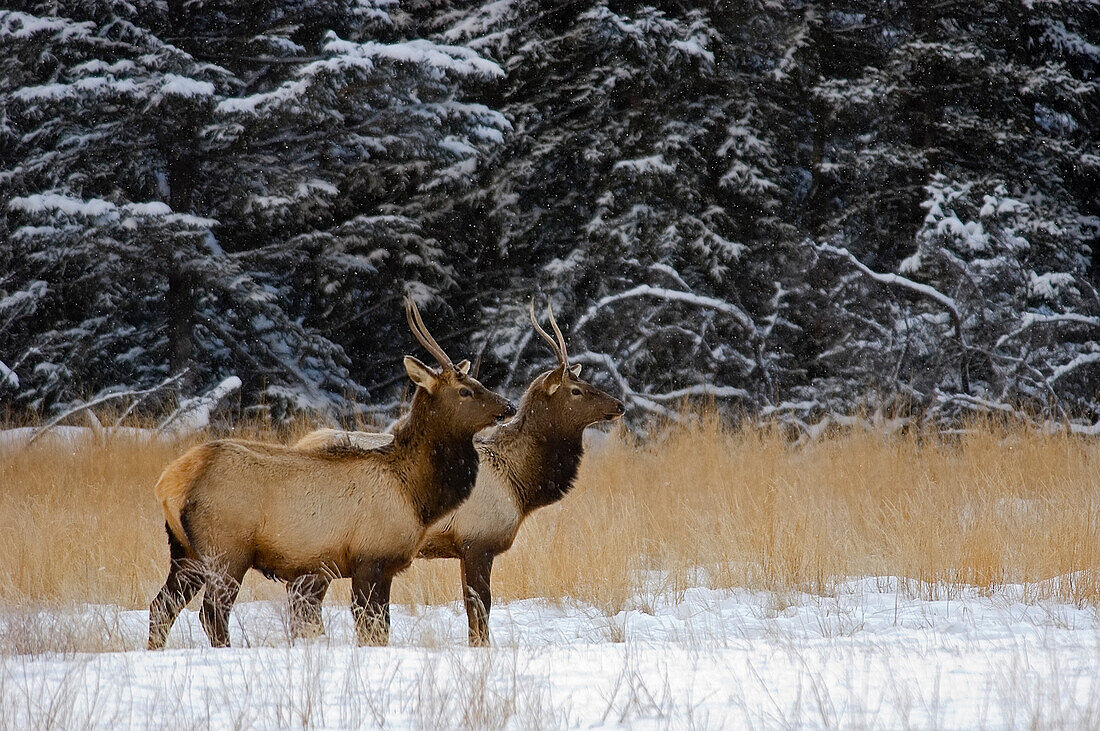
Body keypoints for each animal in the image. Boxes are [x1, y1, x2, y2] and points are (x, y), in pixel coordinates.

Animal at [145, 294, 514, 646]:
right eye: (466, 390)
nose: (508, 405)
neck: (416, 495)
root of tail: (168, 483)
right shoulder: (371, 559)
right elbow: (373, 630)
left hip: (185, 552)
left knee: (161, 606)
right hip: (225, 549)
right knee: (211, 612)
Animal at [288, 301, 624, 646]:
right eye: (576, 390)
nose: (620, 405)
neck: (519, 484)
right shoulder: (477, 540)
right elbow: (479, 604)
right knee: (303, 597)